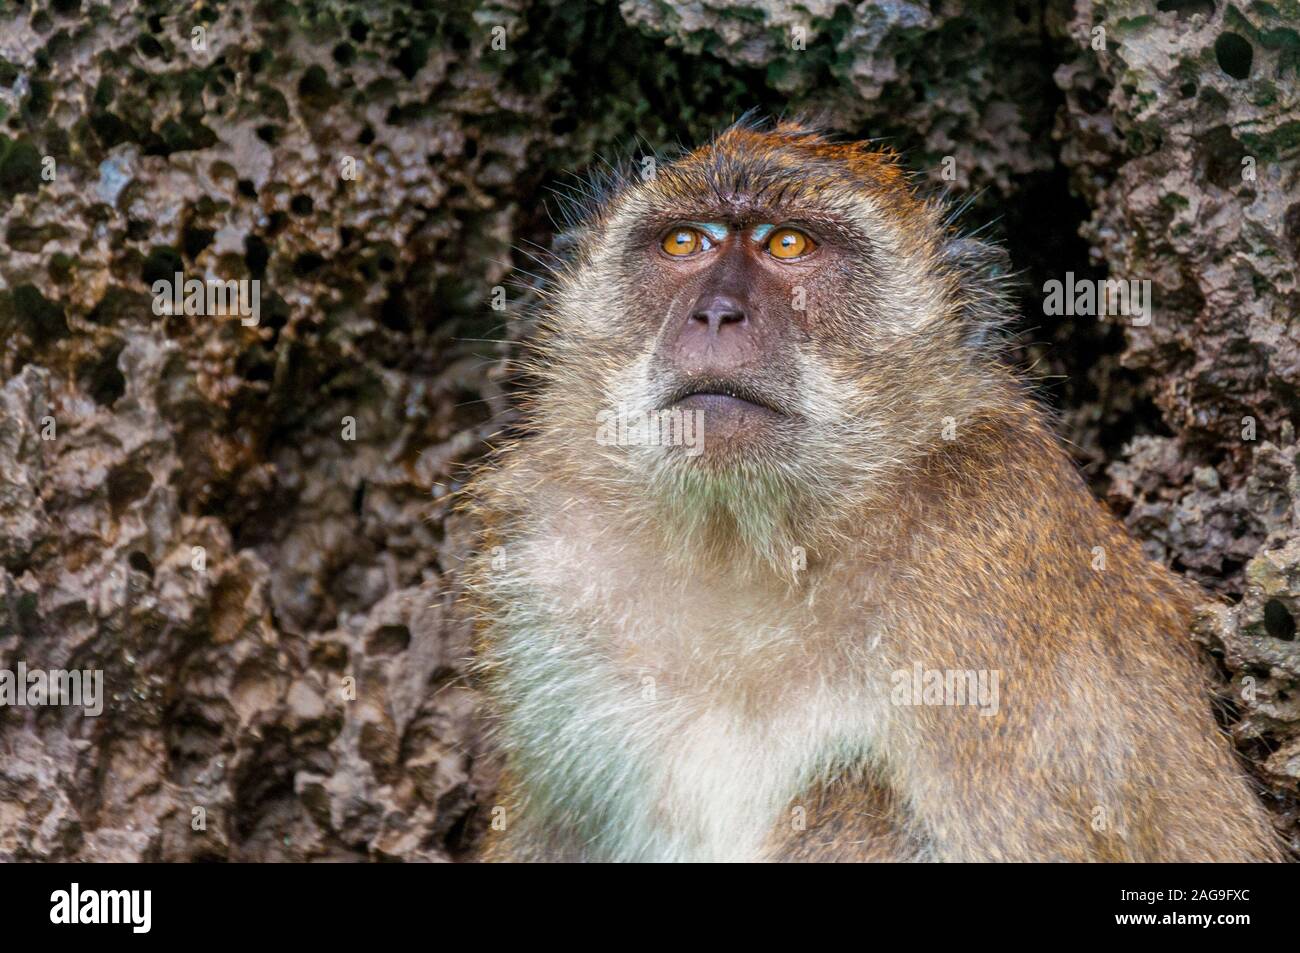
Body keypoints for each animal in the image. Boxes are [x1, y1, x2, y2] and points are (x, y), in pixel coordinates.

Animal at [457, 117, 1279, 863]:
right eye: (684, 243)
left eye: (789, 245)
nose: (716, 312)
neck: (753, 548)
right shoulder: (547, 550)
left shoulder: (986, 547)